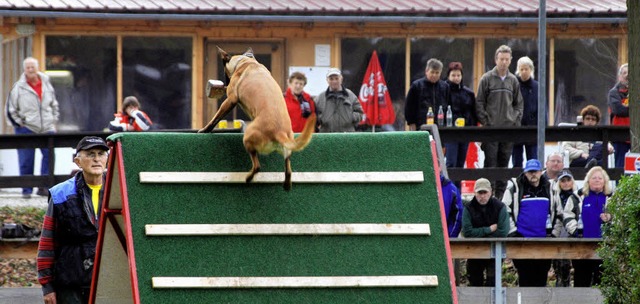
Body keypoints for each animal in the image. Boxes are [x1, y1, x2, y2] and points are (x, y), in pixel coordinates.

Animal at [196, 47, 314, 190]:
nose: (225, 83)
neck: (246, 62)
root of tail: (279, 132)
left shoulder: (230, 100)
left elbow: (215, 118)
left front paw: (205, 130)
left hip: (248, 137)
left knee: (257, 166)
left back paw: (248, 178)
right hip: (287, 150)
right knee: (288, 170)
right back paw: (286, 184)